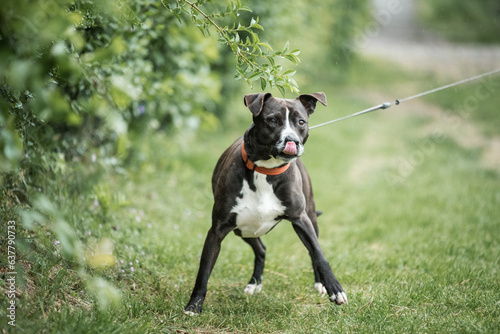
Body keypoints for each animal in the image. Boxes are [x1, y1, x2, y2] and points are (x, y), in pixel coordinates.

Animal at [185, 91, 348, 314]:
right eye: (272, 120)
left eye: (301, 122)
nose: (292, 140)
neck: (266, 169)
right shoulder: (218, 230)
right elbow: (204, 270)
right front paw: (194, 305)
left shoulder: (301, 219)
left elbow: (319, 254)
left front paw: (335, 289)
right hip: (244, 229)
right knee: (261, 249)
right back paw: (255, 283)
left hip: (310, 217)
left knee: (310, 251)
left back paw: (319, 283)